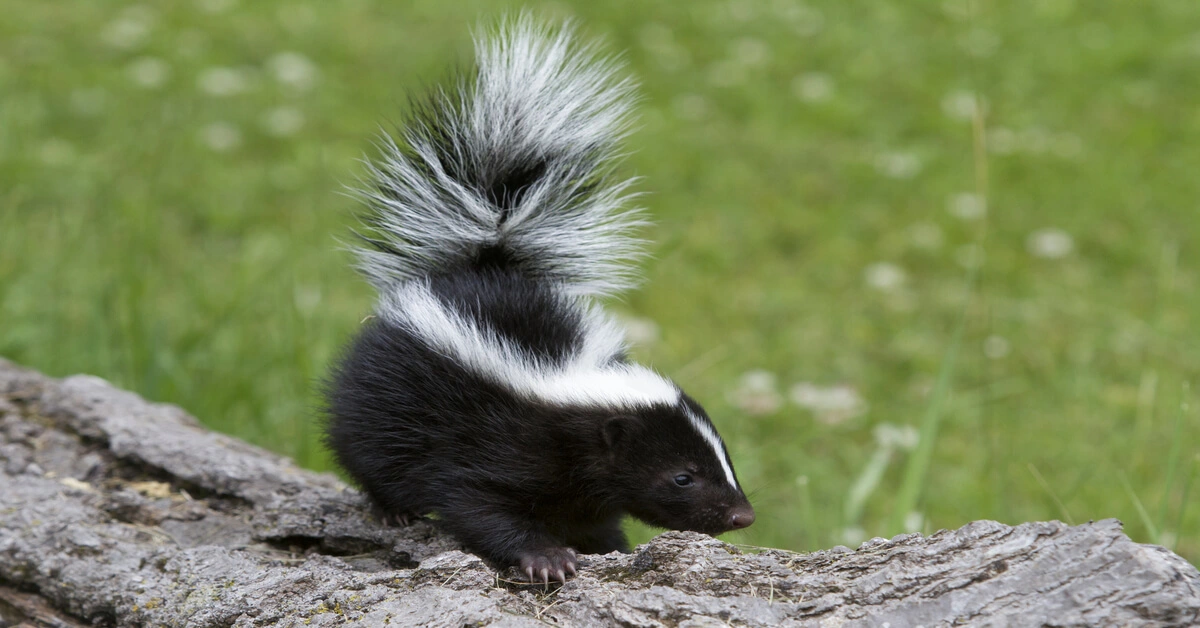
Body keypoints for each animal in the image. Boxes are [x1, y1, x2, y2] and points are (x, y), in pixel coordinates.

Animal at [324, 15, 753, 585]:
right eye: (683, 476)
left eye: (724, 458)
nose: (742, 515)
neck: (563, 386)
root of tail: (488, 259)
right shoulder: (492, 445)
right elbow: (479, 504)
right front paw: (546, 558)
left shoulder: (579, 485)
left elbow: (589, 516)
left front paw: (607, 546)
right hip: (382, 396)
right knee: (367, 450)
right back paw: (391, 509)